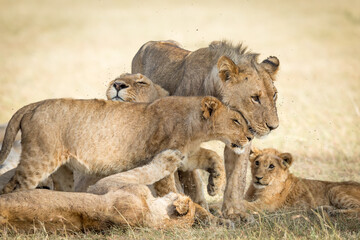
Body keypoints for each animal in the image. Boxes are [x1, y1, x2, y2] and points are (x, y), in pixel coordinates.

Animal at [0, 94, 250, 194]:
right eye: (236, 121)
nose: (249, 137)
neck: (196, 130)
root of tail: (33, 105)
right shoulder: (165, 154)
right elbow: (167, 187)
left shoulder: (185, 155)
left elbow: (212, 156)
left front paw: (215, 185)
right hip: (39, 159)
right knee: (14, 187)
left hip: (62, 168)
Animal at [132, 39, 282, 218]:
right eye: (255, 98)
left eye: (274, 95)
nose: (274, 126)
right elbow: (192, 181)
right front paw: (201, 210)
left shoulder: (241, 139)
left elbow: (237, 178)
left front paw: (234, 213)